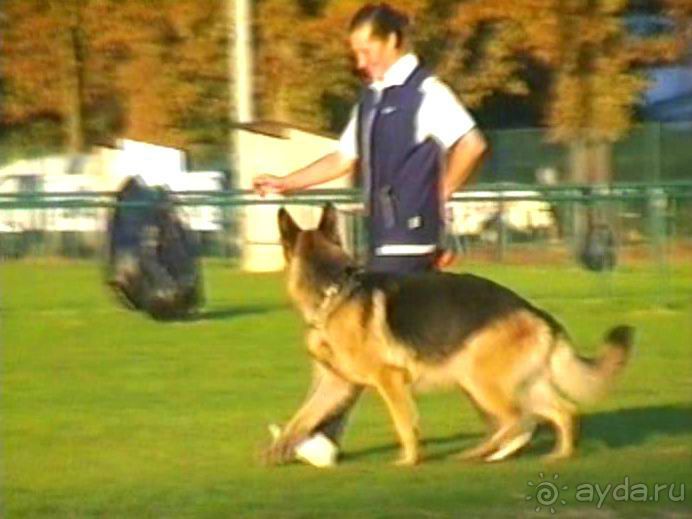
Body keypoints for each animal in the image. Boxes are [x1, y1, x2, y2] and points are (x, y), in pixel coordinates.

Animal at [268, 204, 636, 468]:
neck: (334, 290)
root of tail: (538, 314)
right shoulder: (337, 385)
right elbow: (301, 419)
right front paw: (277, 451)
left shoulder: (389, 379)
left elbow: (404, 423)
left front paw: (409, 461)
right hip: (515, 384)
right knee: (560, 412)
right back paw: (555, 455)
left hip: (477, 378)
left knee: (517, 420)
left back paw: (477, 453)